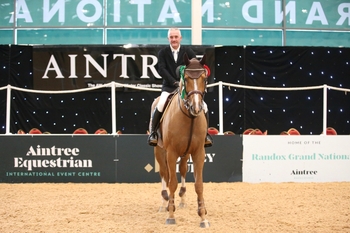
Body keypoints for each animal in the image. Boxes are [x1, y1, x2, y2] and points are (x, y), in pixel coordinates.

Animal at [151, 52, 211, 228]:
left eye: (204, 78)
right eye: (187, 78)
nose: (196, 107)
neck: (189, 117)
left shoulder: (199, 153)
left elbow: (199, 184)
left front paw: (203, 217)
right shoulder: (171, 153)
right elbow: (172, 182)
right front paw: (171, 215)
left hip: (185, 153)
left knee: (183, 169)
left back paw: (182, 199)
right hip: (159, 150)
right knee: (164, 174)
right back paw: (164, 203)